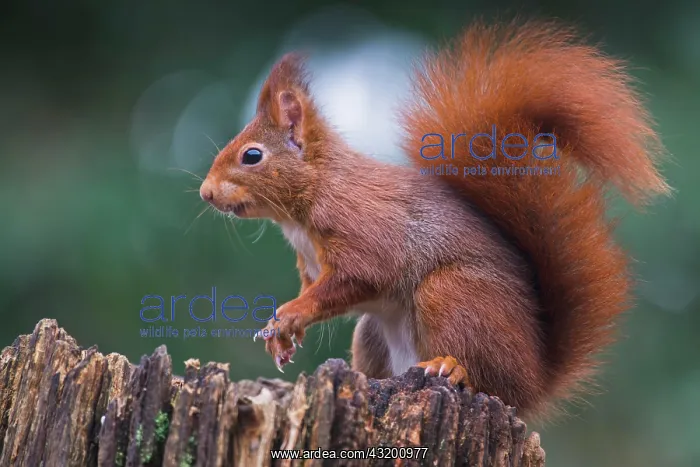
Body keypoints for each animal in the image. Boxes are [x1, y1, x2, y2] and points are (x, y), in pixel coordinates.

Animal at [199, 20, 670, 416]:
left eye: (252, 156)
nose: (205, 192)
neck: (304, 205)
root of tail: (535, 380)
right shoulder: (310, 264)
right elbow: (313, 286)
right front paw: (280, 336)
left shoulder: (364, 231)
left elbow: (357, 276)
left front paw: (291, 313)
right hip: (373, 333)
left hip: (451, 294)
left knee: (488, 378)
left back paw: (454, 367)